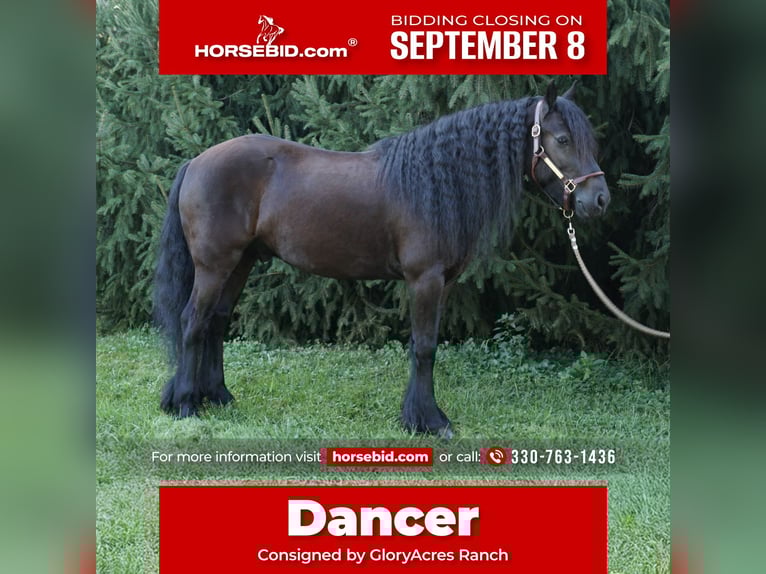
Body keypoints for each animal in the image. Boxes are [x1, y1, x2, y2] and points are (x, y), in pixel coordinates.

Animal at [153, 81, 610, 438]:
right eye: (563, 140)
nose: (600, 200)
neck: (435, 185)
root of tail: (197, 160)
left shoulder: (443, 283)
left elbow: (427, 345)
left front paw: (422, 417)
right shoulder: (424, 279)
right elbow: (424, 347)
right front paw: (428, 421)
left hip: (241, 262)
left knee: (216, 322)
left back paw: (219, 398)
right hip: (215, 265)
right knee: (193, 321)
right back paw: (187, 405)